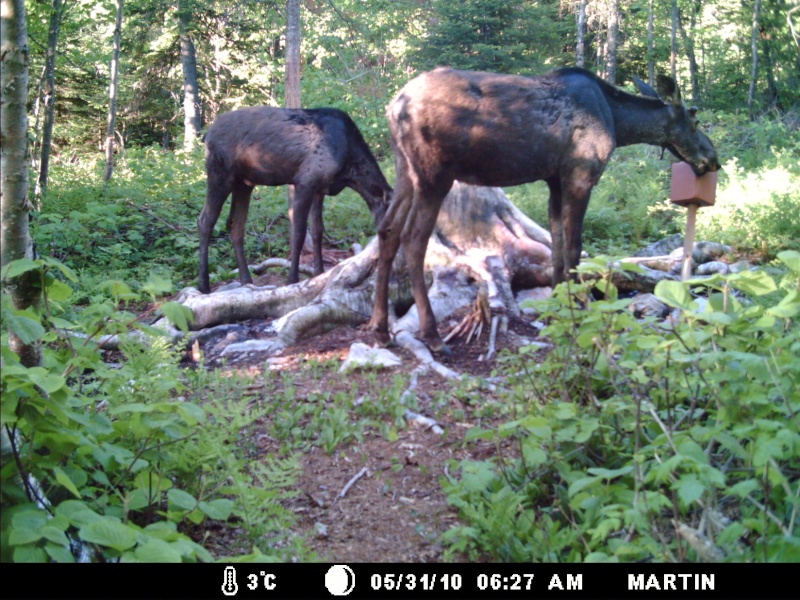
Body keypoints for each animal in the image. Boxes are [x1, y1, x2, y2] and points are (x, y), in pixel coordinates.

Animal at [197, 108, 390, 296]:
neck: (350, 173)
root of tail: (207, 135)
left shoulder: (320, 189)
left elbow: (318, 231)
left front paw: (319, 272)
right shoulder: (305, 181)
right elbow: (299, 232)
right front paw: (292, 279)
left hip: (244, 183)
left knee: (235, 224)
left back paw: (246, 280)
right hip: (220, 173)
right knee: (205, 220)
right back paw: (204, 285)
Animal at [372, 68, 720, 354]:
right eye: (694, 119)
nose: (713, 158)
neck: (618, 124)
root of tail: (393, 108)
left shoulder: (554, 180)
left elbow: (557, 247)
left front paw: (557, 307)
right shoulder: (580, 175)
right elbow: (575, 248)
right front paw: (577, 310)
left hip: (406, 171)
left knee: (387, 230)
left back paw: (380, 329)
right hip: (434, 175)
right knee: (414, 239)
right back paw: (431, 336)